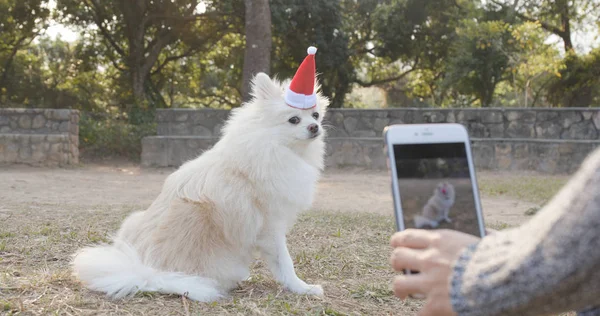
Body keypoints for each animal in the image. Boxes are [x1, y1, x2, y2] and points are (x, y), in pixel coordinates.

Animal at [72, 46, 330, 302]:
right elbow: (284, 262)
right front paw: (302, 288)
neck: (272, 146)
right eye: (294, 120)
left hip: (132, 220)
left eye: (315, 116)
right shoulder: (270, 227)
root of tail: (150, 271)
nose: (314, 127)